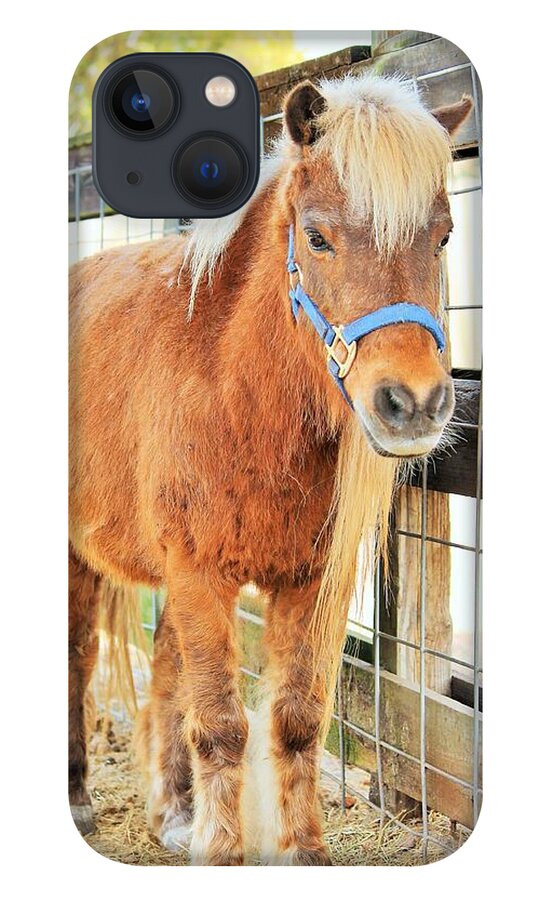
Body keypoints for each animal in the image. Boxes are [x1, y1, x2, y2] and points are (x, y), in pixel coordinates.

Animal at [68, 72, 472, 865]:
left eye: (442, 236)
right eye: (316, 237)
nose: (413, 404)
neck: (237, 393)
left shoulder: (308, 581)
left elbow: (295, 720)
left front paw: (302, 852)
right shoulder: (199, 571)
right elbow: (223, 726)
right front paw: (225, 853)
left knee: (166, 670)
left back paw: (174, 812)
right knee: (78, 658)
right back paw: (77, 797)